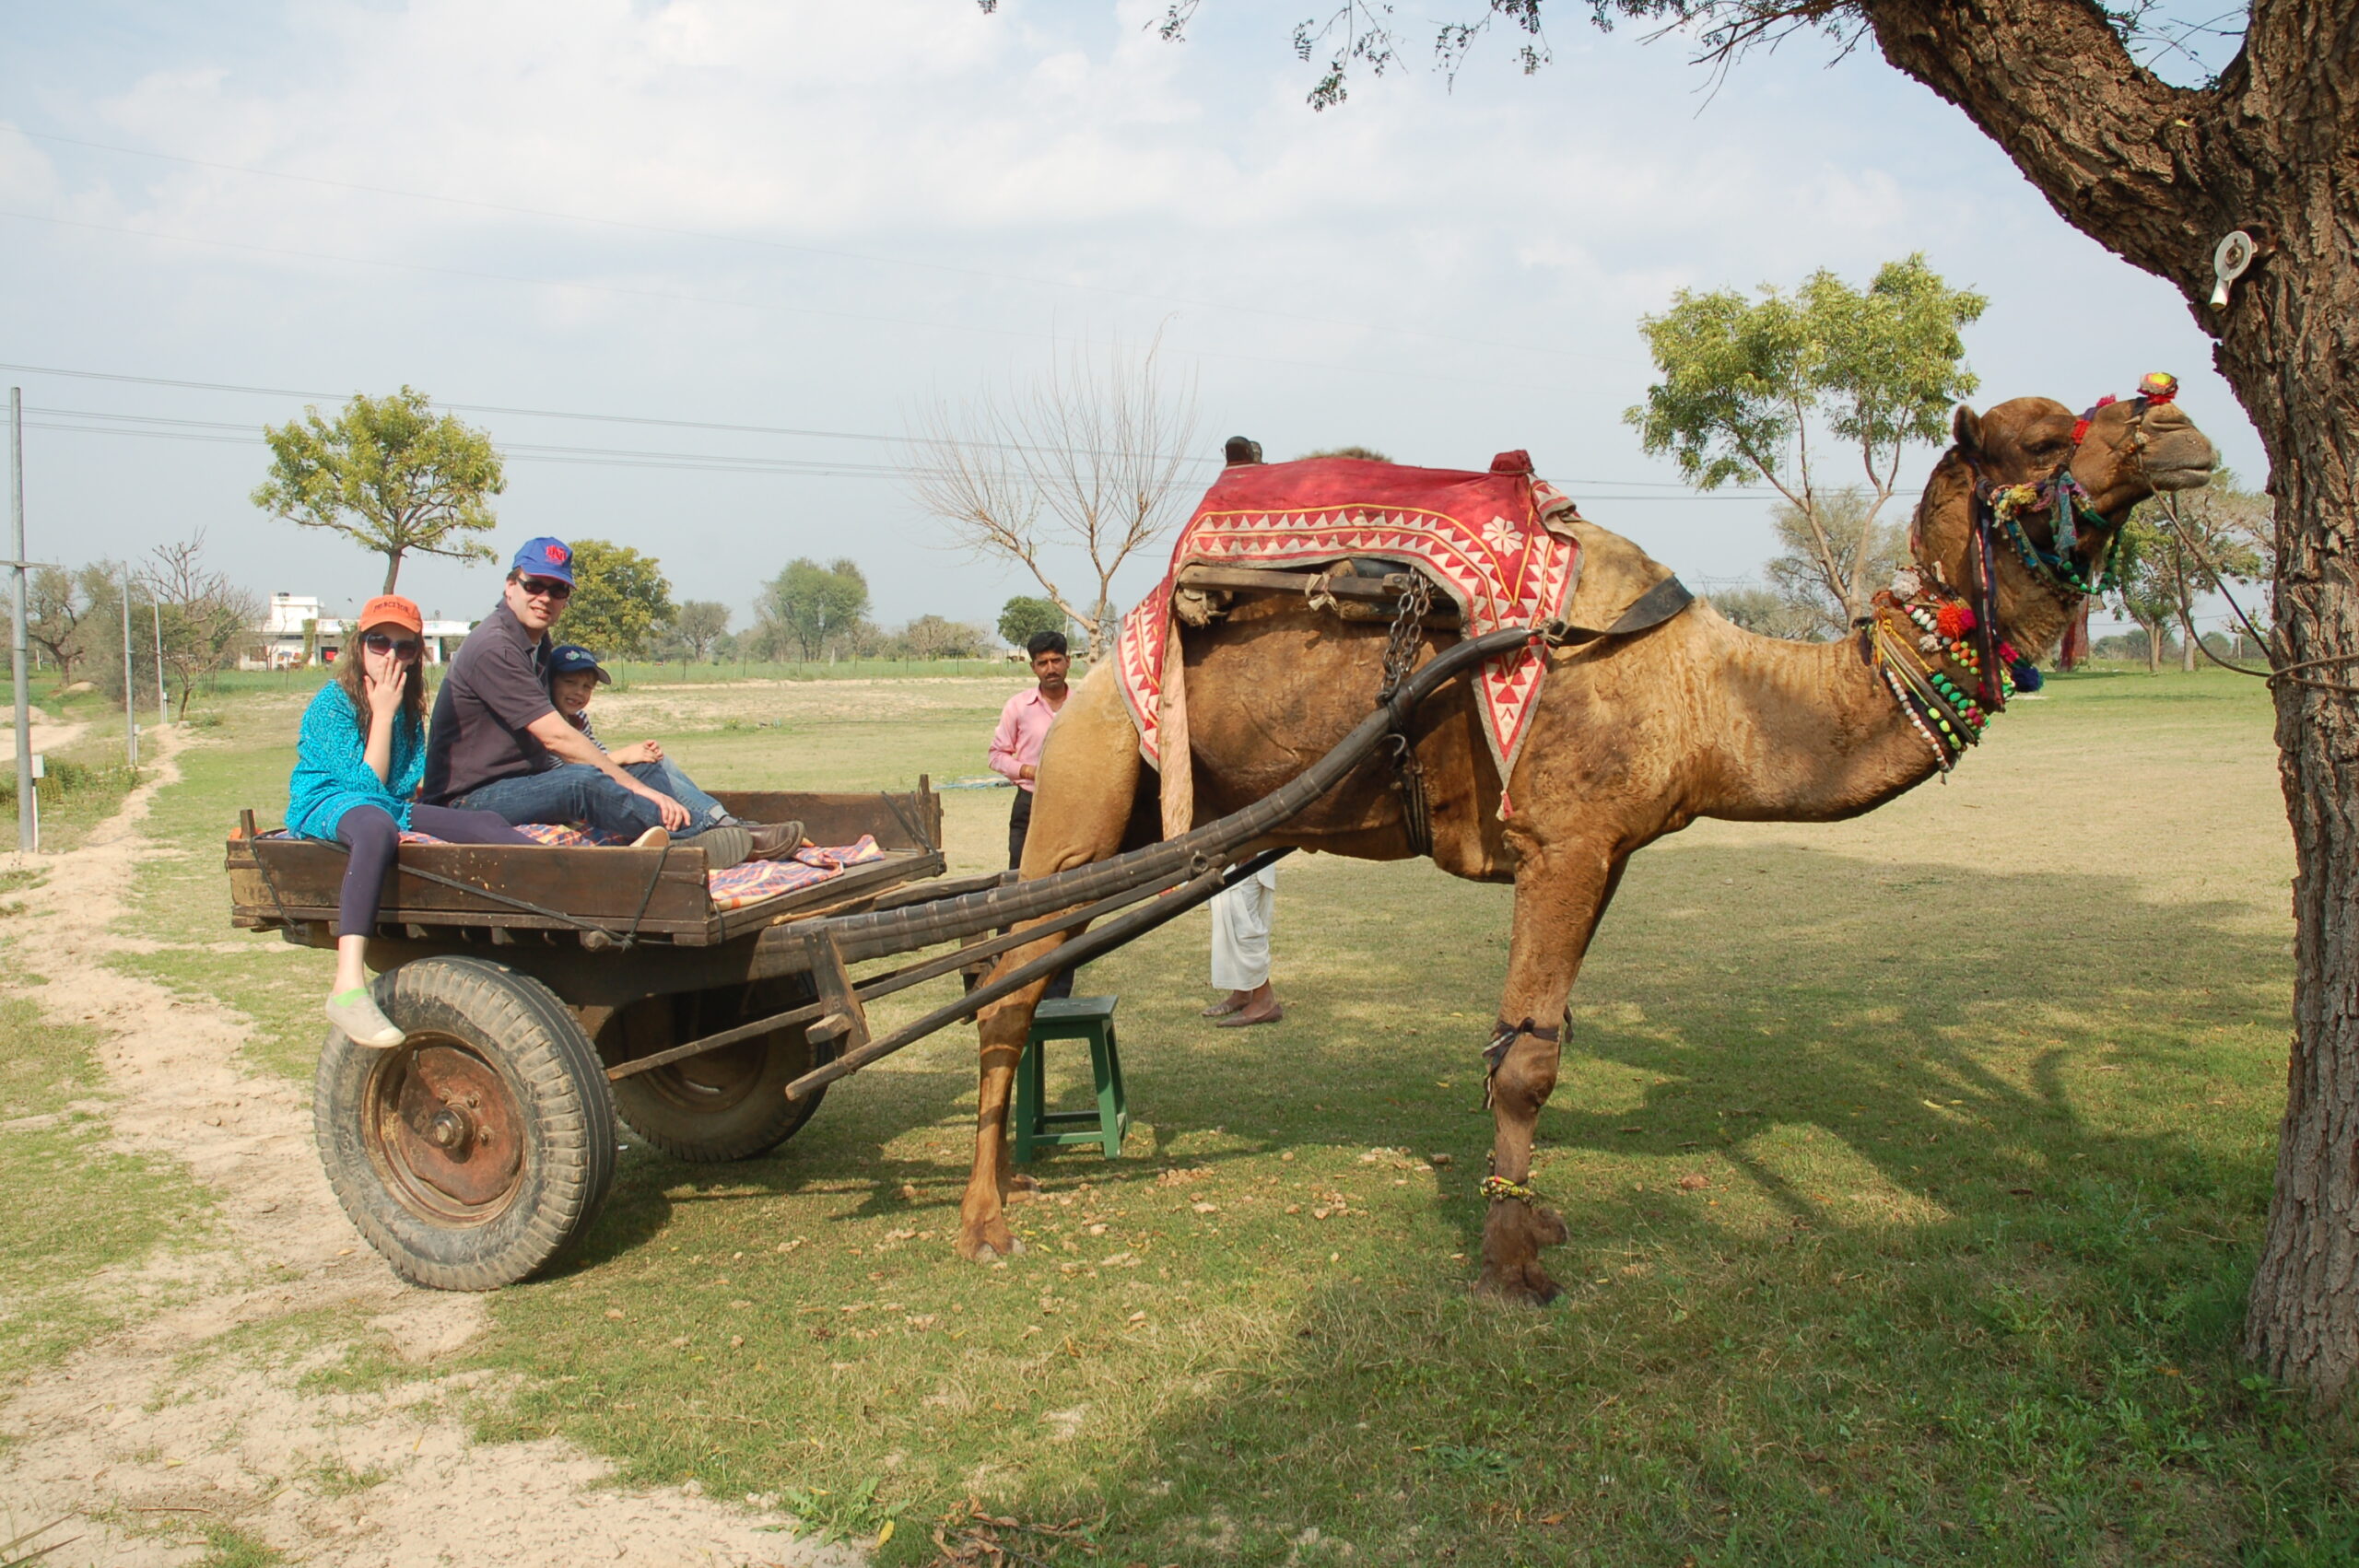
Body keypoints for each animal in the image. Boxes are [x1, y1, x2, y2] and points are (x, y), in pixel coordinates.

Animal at [953, 384, 2208, 1301]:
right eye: (2044, 435)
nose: (2181, 430)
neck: (1703, 689)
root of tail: (1116, 642)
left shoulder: (1606, 851)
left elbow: (1544, 1033)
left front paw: (1539, 1215)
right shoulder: (1560, 839)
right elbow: (1524, 1059)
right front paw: (1512, 1265)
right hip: (1090, 776)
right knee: (1008, 985)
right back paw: (984, 1222)